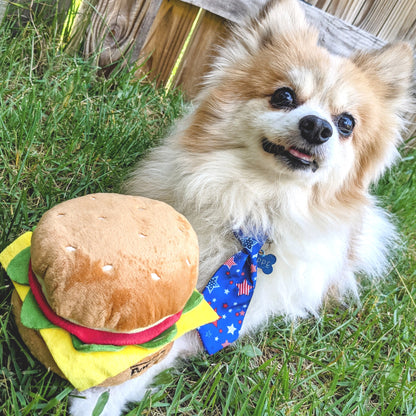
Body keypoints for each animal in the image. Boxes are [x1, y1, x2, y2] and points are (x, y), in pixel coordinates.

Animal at [70, 0, 412, 414]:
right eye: (283, 96)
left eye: (346, 123)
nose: (318, 127)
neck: (257, 202)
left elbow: (165, 346)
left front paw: (98, 399)